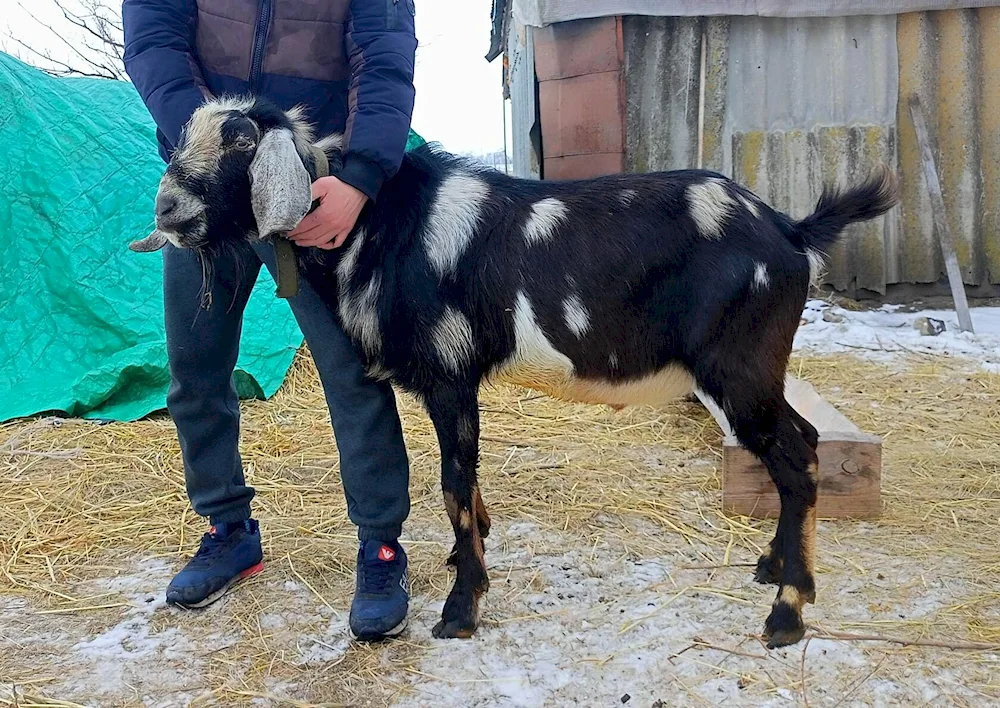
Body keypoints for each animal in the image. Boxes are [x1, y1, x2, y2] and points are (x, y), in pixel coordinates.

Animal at [133, 97, 900, 648]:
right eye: (182, 135)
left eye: (240, 139)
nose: (166, 208)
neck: (378, 227)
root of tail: (788, 230)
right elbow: (464, 485)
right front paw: (463, 560)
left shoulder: (449, 374)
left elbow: (451, 483)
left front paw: (461, 607)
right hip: (759, 373)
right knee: (803, 445)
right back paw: (775, 566)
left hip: (738, 367)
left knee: (796, 459)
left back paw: (787, 614)